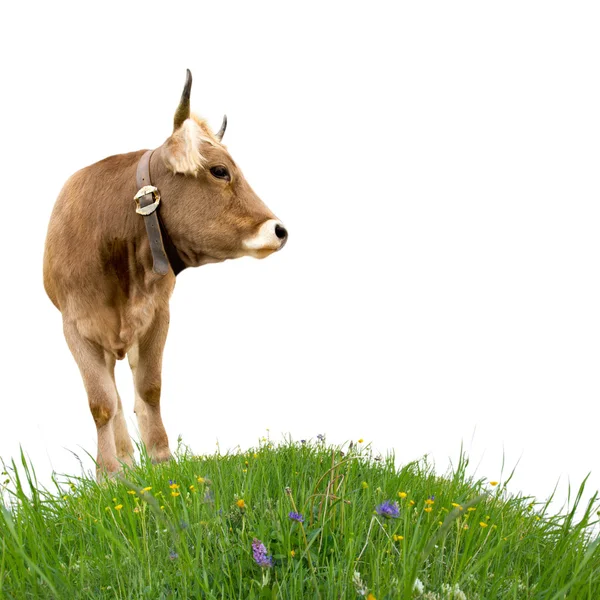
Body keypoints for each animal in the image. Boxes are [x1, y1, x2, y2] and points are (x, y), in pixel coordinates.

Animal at [43, 69, 288, 478]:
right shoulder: (75, 327)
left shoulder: (158, 315)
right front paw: (109, 474)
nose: (279, 230)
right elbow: (101, 403)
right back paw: (124, 461)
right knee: (112, 395)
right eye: (220, 171)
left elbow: (150, 388)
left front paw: (160, 460)